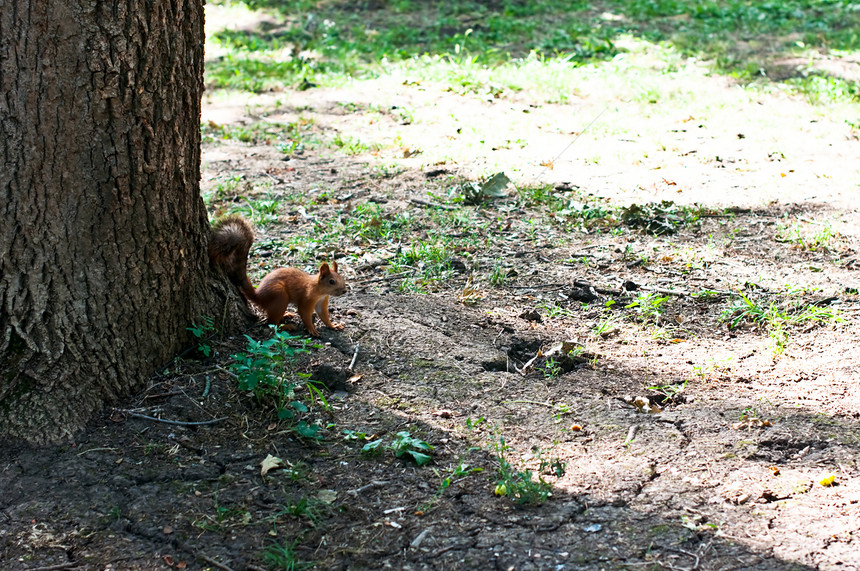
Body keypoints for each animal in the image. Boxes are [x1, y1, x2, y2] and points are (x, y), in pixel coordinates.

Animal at [208, 217, 346, 338]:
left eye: (342, 278)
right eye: (331, 281)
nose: (344, 291)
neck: (319, 290)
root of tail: (259, 297)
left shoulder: (322, 301)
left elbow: (324, 316)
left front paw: (333, 325)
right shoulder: (306, 299)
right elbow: (305, 314)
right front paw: (312, 329)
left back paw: (286, 314)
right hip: (280, 296)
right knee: (272, 322)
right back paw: (286, 326)